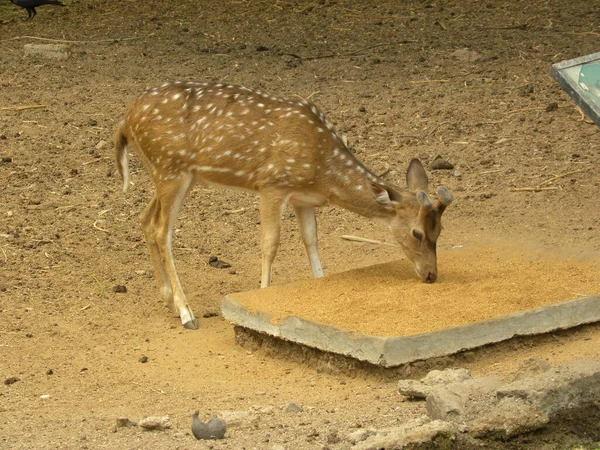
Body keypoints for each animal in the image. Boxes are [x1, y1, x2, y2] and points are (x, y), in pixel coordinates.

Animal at [116, 81, 454, 326]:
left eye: (440, 232)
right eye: (417, 233)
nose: (431, 275)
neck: (321, 172)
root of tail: (126, 121)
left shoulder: (303, 199)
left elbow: (311, 240)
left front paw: (319, 282)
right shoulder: (272, 184)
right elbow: (270, 243)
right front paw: (263, 295)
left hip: (172, 175)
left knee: (145, 219)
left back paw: (169, 300)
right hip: (171, 168)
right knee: (162, 231)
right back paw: (187, 313)